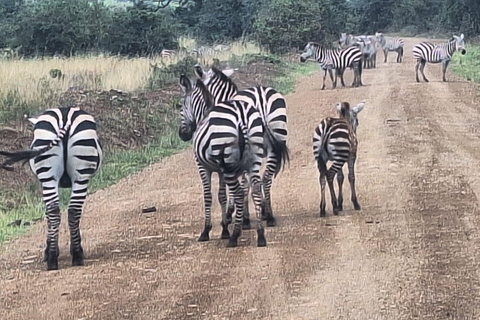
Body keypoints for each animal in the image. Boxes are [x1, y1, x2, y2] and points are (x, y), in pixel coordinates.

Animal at [0, 107, 102, 270]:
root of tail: (65, 118)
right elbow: (50, 212)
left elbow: (48, 213)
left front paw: (49, 250)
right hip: (76, 176)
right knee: (69, 211)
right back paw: (71, 255)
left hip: (55, 174)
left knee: (61, 211)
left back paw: (56, 258)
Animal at [178, 75, 268, 248]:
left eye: (181, 106)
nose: (182, 135)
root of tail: (242, 117)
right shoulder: (220, 171)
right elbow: (222, 196)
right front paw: (225, 228)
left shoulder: (203, 166)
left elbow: (208, 196)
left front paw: (207, 231)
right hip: (253, 161)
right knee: (255, 190)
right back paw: (260, 235)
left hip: (228, 165)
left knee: (239, 193)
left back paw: (235, 236)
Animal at [194, 65, 290, 228]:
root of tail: (260, 98)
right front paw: (260, 209)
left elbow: (238, 186)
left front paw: (234, 213)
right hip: (276, 138)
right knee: (266, 177)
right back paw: (269, 215)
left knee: (251, 182)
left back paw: (249, 218)